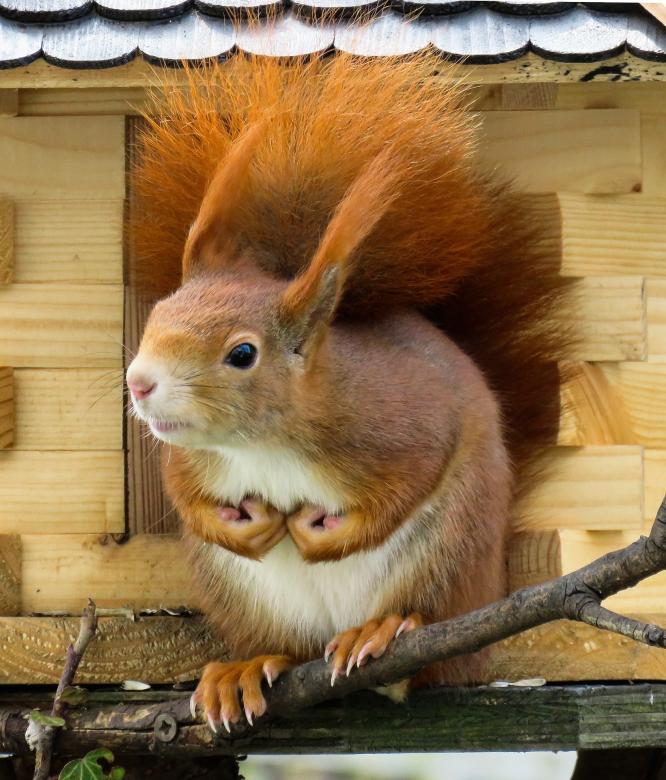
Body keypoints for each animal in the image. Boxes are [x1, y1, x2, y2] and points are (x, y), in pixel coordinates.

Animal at [126, 52, 568, 731]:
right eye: (156, 315)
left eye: (242, 354)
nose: (139, 383)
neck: (262, 445)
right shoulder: (189, 458)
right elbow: (185, 496)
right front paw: (243, 529)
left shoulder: (403, 424)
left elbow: (408, 481)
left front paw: (320, 534)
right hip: (246, 600)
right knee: (285, 647)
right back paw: (244, 669)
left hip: (447, 561)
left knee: (426, 642)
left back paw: (379, 632)